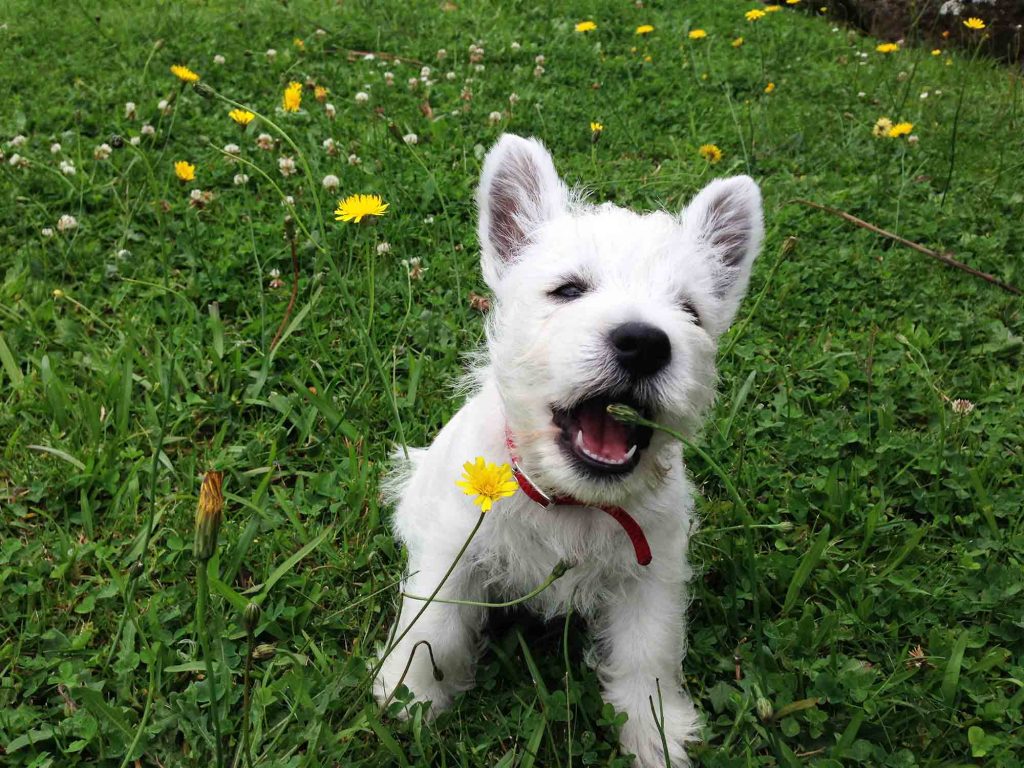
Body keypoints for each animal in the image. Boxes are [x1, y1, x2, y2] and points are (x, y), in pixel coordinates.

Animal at [376, 135, 761, 765]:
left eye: (690, 311)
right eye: (569, 290)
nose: (644, 342)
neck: (569, 499)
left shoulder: (651, 575)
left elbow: (648, 654)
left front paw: (656, 734)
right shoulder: (453, 552)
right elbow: (433, 628)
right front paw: (409, 699)